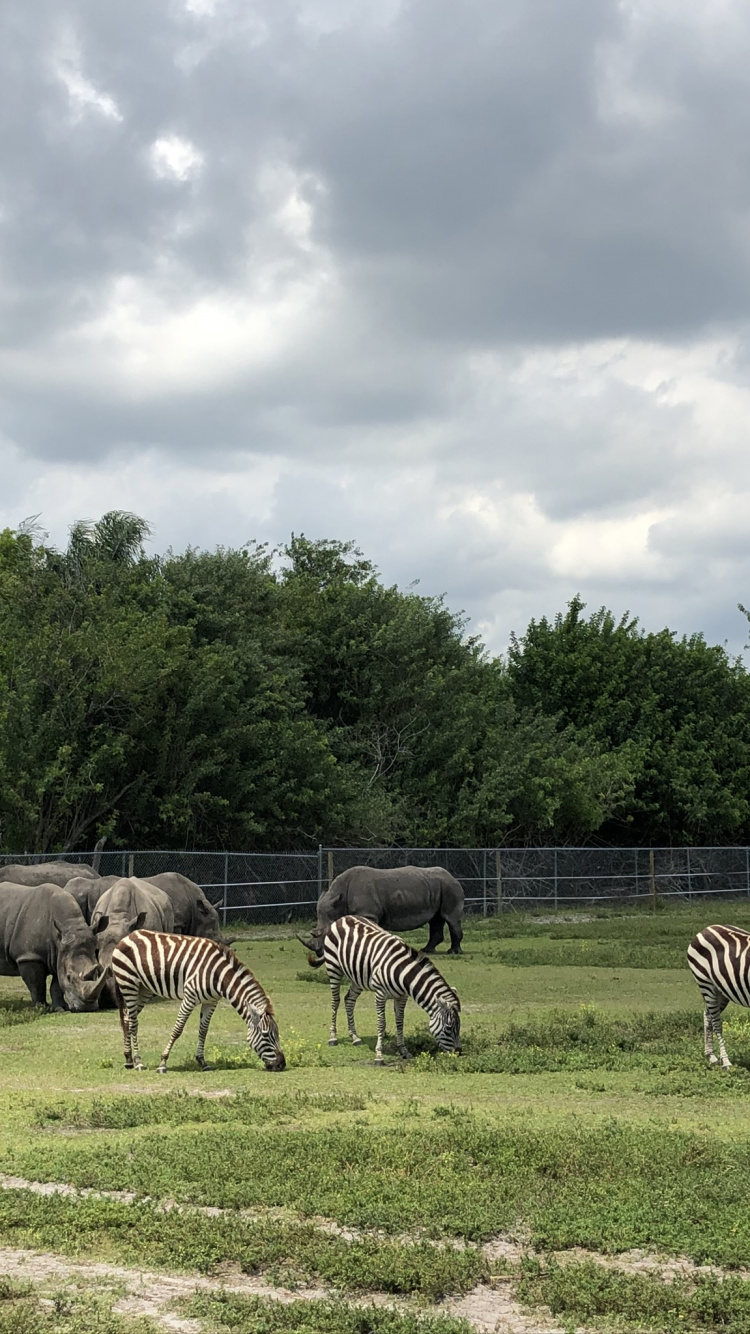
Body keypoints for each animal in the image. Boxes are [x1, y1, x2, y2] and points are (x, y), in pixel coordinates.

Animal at [110, 930, 286, 1073]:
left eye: (277, 1033)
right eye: (266, 1035)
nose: (281, 1064)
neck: (218, 975)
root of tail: (128, 936)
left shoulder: (211, 1001)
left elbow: (203, 1030)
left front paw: (202, 1062)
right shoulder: (189, 997)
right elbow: (177, 1029)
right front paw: (163, 1063)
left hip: (143, 989)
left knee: (127, 1018)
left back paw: (128, 1059)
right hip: (128, 983)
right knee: (133, 1022)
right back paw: (138, 1061)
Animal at [300, 914, 461, 1064]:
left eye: (459, 1026)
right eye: (448, 1028)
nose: (459, 1053)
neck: (402, 974)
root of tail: (343, 918)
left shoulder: (402, 996)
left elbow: (400, 1021)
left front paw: (404, 1050)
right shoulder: (380, 994)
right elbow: (381, 1023)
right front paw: (379, 1056)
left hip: (358, 977)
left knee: (349, 1000)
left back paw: (355, 1037)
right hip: (334, 967)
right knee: (336, 1001)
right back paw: (333, 1037)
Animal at [687, 923, 750, 1068]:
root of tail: (707, 928)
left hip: (721, 991)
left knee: (707, 1016)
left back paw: (711, 1056)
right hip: (706, 984)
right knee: (716, 1023)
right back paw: (725, 1061)